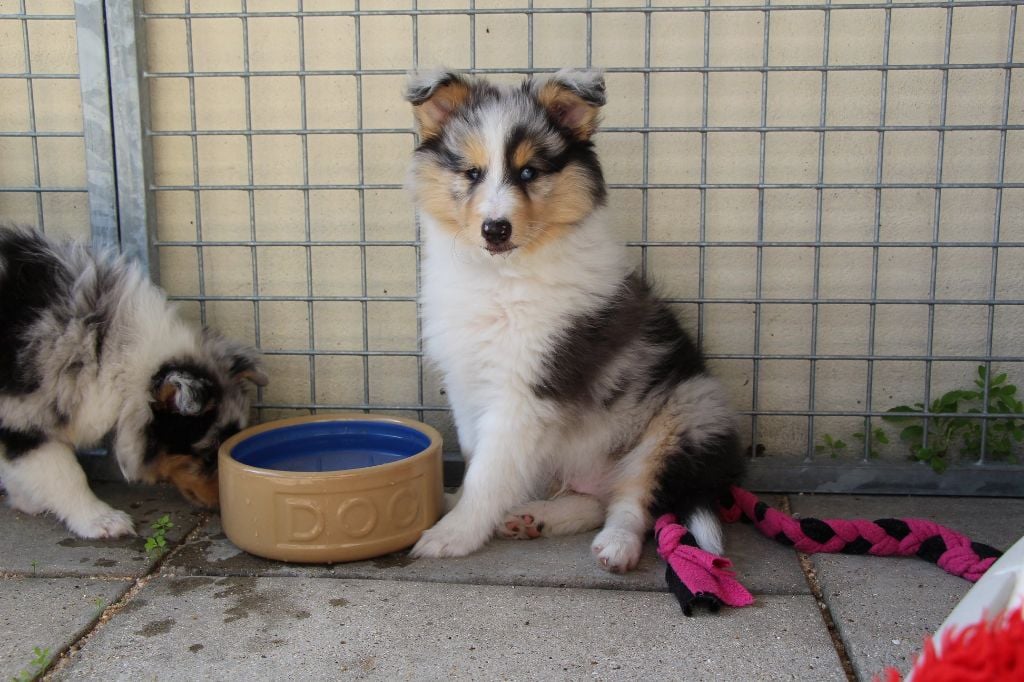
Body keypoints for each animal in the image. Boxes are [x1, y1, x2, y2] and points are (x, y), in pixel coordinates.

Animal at [1, 227, 264, 536]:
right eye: (208, 452)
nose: (226, 508)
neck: (104, 349)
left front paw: (25, 499)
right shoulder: (21, 417)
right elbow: (63, 472)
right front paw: (100, 520)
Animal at [405, 70, 745, 569]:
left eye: (529, 172)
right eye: (472, 173)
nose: (495, 229)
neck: (502, 276)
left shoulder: (529, 389)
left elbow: (490, 472)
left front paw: (452, 535)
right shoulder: (468, 383)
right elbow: (476, 460)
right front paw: (455, 506)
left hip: (683, 415)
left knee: (635, 499)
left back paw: (616, 547)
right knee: (596, 500)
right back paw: (533, 517)